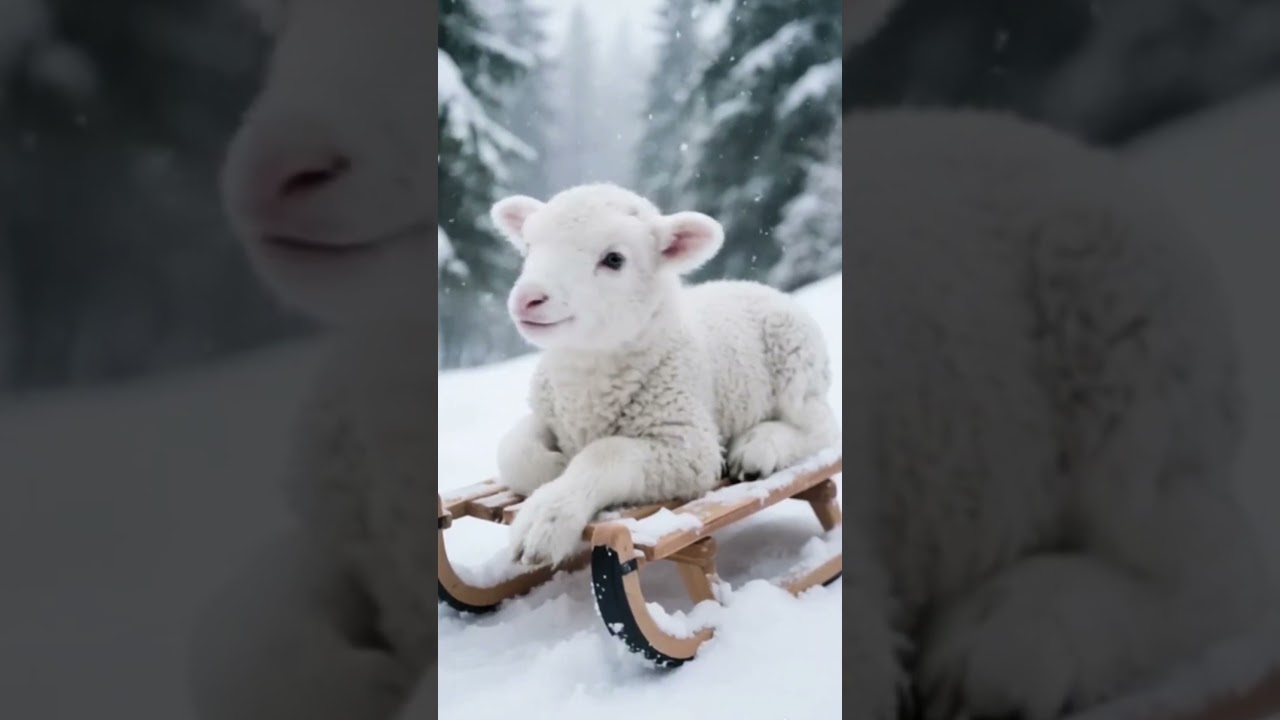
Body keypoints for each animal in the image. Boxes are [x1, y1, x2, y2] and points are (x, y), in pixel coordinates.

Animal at [487, 183, 841, 565]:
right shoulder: (547, 413)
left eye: (614, 259)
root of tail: (756, 284)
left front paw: (547, 515)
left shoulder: (689, 446)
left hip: (796, 366)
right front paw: (556, 466)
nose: (527, 298)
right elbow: (512, 450)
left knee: (819, 427)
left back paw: (757, 448)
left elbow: (606, 453)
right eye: (529, 247)